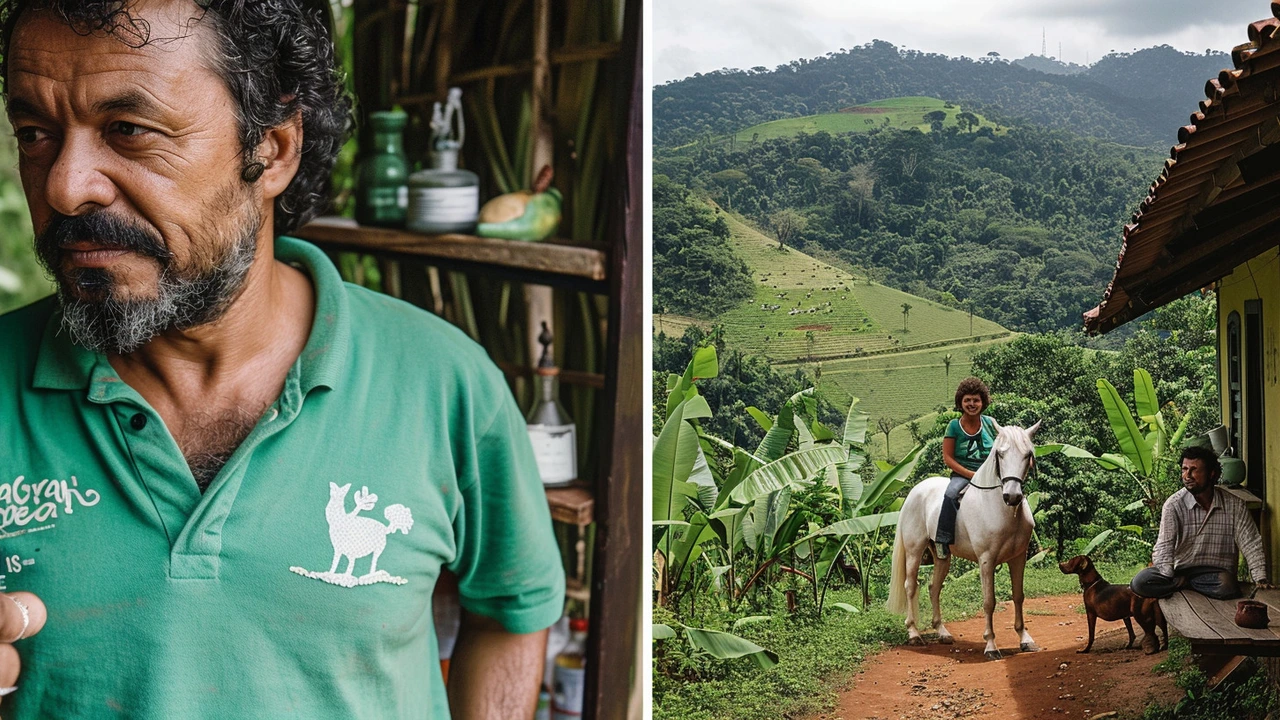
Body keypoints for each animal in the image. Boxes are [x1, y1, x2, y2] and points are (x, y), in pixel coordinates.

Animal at [890, 417, 1039, 661]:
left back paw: (942, 632)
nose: (1012, 496)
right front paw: (991, 645)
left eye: (1028, 454)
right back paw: (914, 634)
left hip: (942, 556)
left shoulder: (1019, 558)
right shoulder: (986, 560)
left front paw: (1025, 639)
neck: (999, 508)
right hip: (914, 551)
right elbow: (989, 601)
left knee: (934, 587)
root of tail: (915, 491)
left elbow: (1018, 596)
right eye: (1000, 454)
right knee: (911, 586)